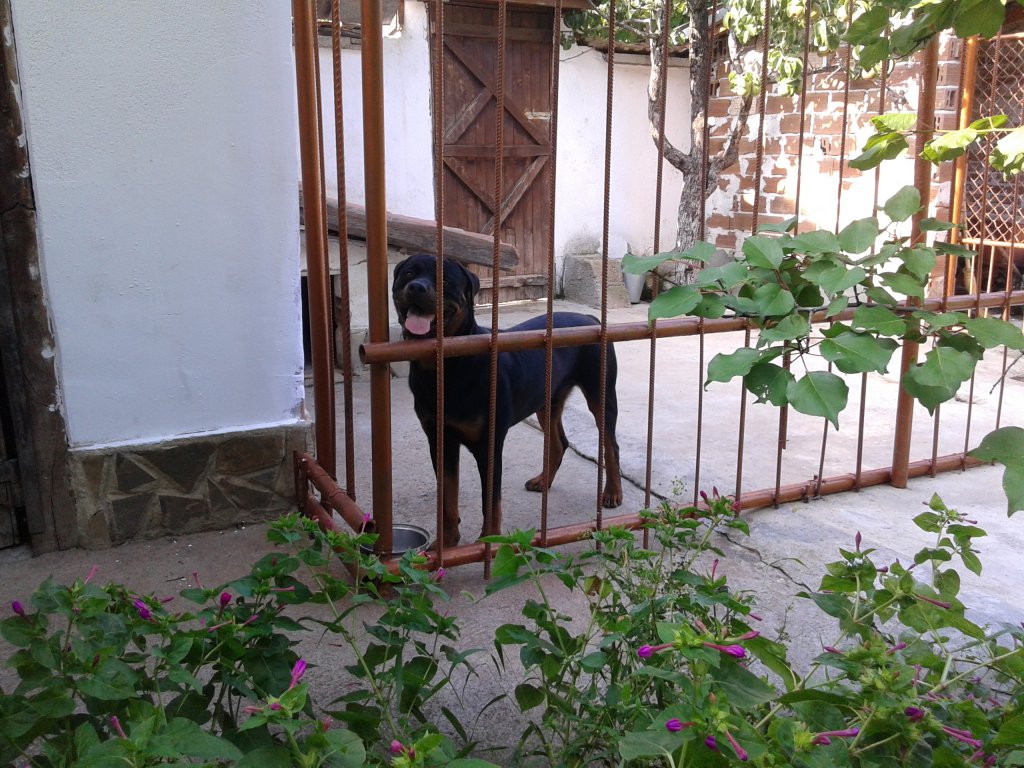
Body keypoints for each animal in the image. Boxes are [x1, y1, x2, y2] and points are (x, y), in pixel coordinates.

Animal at [392, 253, 623, 547]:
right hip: (547, 400)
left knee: (611, 445)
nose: (417, 288)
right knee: (559, 442)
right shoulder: (440, 440)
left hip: (600, 393)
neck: (446, 368)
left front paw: (488, 541)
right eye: (409, 274)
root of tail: (590, 317)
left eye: (445, 280)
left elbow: (490, 500)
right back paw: (542, 480)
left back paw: (612, 493)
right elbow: (447, 497)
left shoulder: (488, 444)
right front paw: (446, 543)